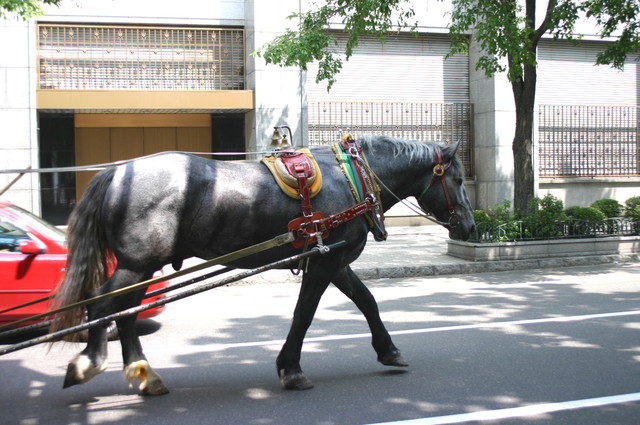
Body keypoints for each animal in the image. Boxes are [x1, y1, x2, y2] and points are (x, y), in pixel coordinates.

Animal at [51, 135, 475, 395]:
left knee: (123, 312)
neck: (352, 179)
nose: (471, 227)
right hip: (136, 264)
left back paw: (145, 375)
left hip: (141, 267)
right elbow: (304, 314)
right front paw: (291, 369)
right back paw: (90, 363)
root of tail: (117, 171)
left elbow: (366, 300)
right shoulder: (324, 263)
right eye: (457, 179)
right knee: (103, 304)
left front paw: (388, 350)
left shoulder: (334, 259)